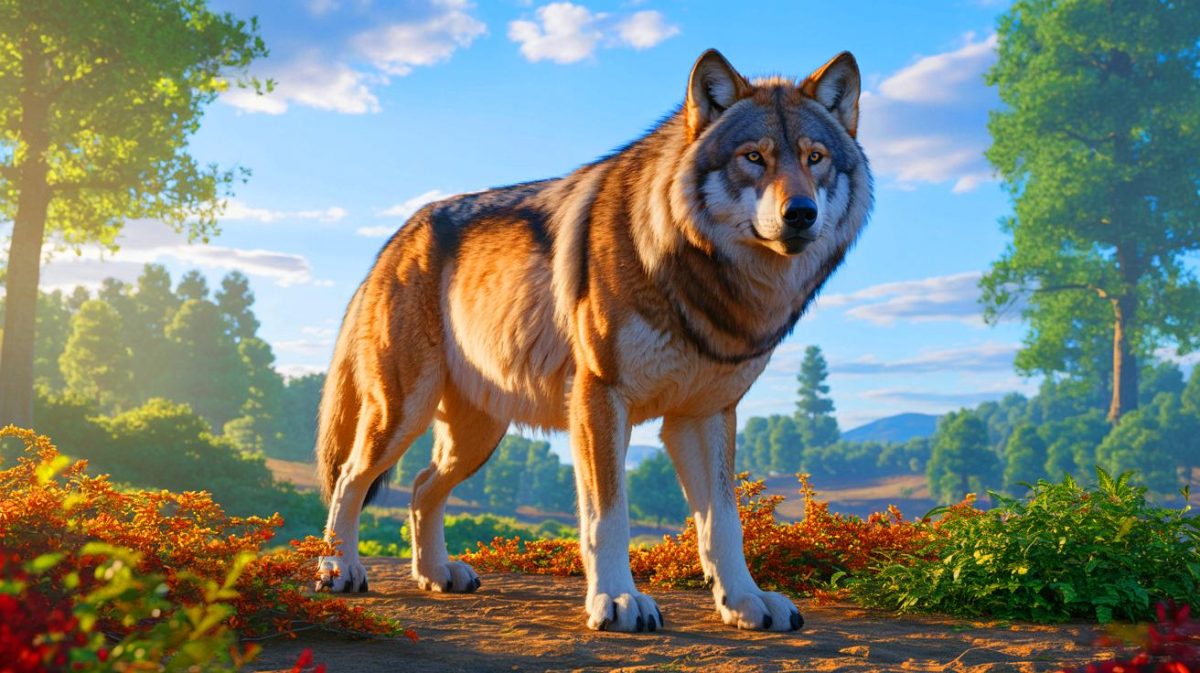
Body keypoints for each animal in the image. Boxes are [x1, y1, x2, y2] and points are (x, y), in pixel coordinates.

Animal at [314, 48, 872, 633]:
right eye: (754, 157)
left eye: (814, 158)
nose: (801, 213)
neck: (703, 282)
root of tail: (395, 238)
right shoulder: (599, 397)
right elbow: (608, 515)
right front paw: (618, 599)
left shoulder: (704, 414)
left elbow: (723, 522)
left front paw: (745, 600)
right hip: (402, 413)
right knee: (349, 479)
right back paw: (339, 568)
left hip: (478, 436)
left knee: (422, 487)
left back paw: (436, 573)